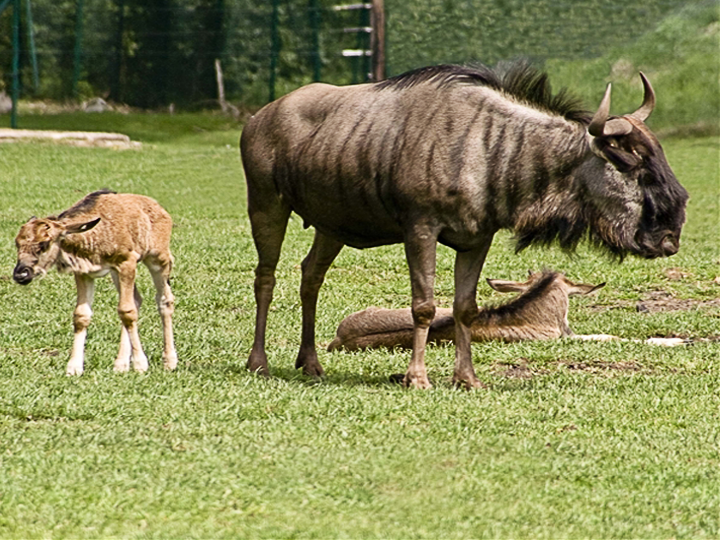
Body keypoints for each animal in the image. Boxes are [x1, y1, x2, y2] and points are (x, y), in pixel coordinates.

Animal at [12, 190, 177, 376]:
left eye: (44, 243)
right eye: (17, 243)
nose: (21, 274)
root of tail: (161, 210)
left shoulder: (127, 262)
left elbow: (127, 311)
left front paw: (140, 364)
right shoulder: (84, 272)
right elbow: (81, 315)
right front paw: (74, 367)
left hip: (158, 258)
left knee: (164, 300)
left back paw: (169, 361)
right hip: (115, 273)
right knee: (136, 299)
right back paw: (121, 364)